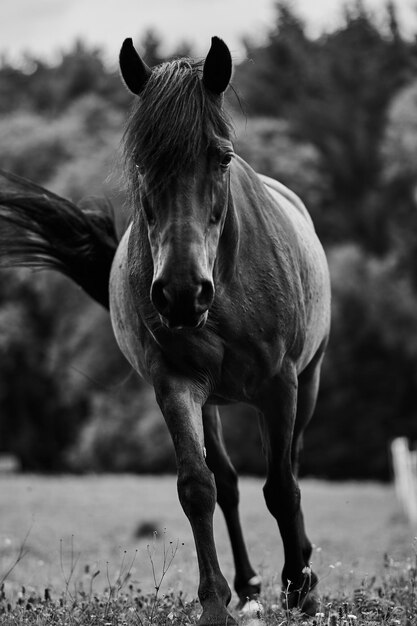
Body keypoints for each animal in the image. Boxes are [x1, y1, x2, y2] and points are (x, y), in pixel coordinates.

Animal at [0, 37, 328, 620]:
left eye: (222, 157)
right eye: (141, 161)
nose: (180, 292)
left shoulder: (281, 383)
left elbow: (282, 486)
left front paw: (299, 588)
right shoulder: (175, 383)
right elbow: (198, 487)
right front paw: (215, 603)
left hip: (306, 381)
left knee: (289, 465)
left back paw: (302, 573)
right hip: (215, 400)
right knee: (229, 484)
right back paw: (248, 585)